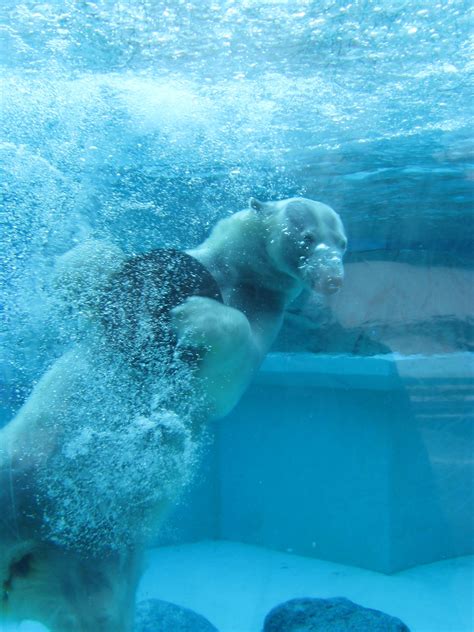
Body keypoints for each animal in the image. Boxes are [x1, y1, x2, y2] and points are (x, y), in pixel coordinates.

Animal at [1, 195, 346, 628]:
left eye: (343, 243)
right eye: (308, 238)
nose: (333, 278)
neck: (240, 276)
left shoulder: (264, 318)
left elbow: (226, 378)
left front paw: (194, 314)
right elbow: (79, 264)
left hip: (103, 557)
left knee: (102, 611)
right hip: (20, 464)